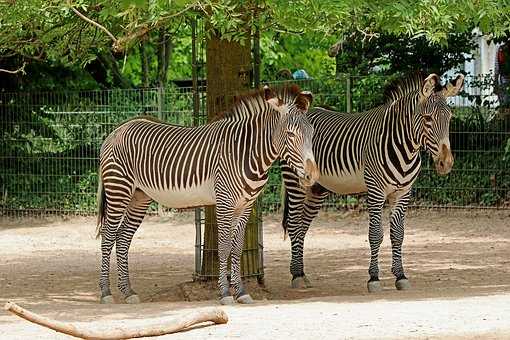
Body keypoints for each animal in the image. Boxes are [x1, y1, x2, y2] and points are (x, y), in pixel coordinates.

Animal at [96, 85, 318, 306]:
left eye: (312, 133)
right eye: (290, 134)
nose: (312, 176)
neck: (246, 153)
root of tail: (118, 129)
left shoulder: (245, 206)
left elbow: (237, 248)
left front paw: (241, 292)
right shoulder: (224, 202)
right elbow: (224, 247)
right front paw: (225, 293)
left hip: (139, 197)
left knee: (123, 238)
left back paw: (128, 292)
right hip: (119, 189)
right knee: (108, 236)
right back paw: (106, 293)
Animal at [280, 73, 464, 292]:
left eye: (450, 118)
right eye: (428, 118)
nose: (446, 163)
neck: (405, 147)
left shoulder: (403, 193)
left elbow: (398, 234)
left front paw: (400, 276)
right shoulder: (376, 192)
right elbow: (376, 234)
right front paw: (374, 278)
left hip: (316, 188)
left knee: (302, 226)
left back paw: (301, 272)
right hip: (295, 182)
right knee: (293, 224)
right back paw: (296, 275)